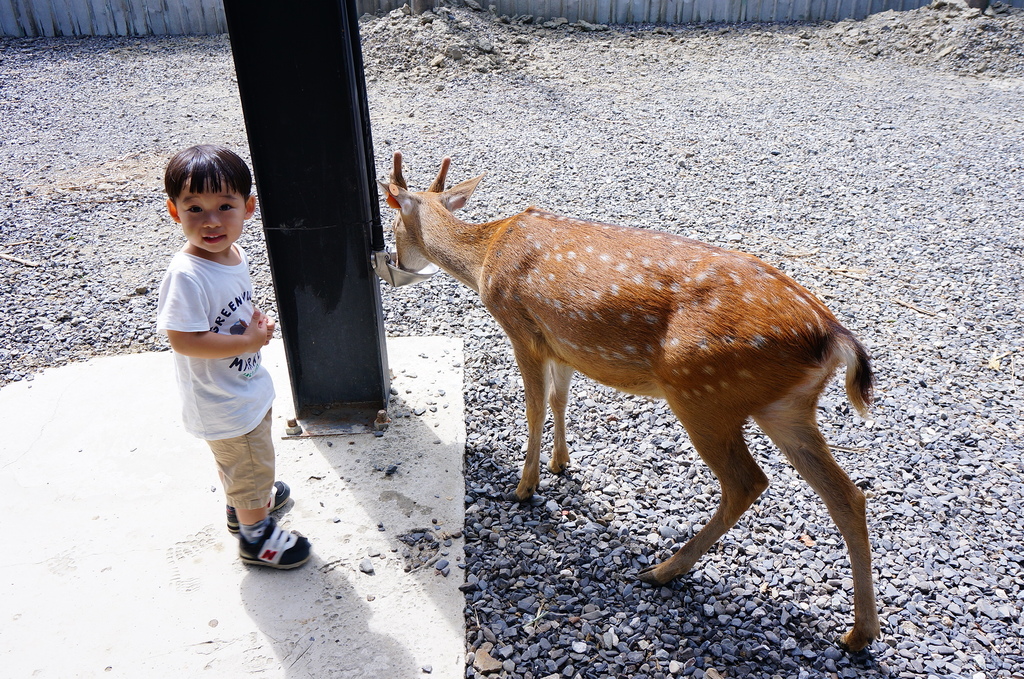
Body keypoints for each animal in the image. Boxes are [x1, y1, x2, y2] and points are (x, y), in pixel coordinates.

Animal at [380, 152, 876, 655]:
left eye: (391, 221)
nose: (395, 262)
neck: (485, 256)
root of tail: (834, 339)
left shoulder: (522, 328)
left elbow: (535, 407)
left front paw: (524, 487)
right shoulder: (562, 344)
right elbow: (560, 399)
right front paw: (561, 464)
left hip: (703, 394)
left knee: (747, 482)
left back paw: (663, 570)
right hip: (787, 407)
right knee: (848, 496)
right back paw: (858, 634)